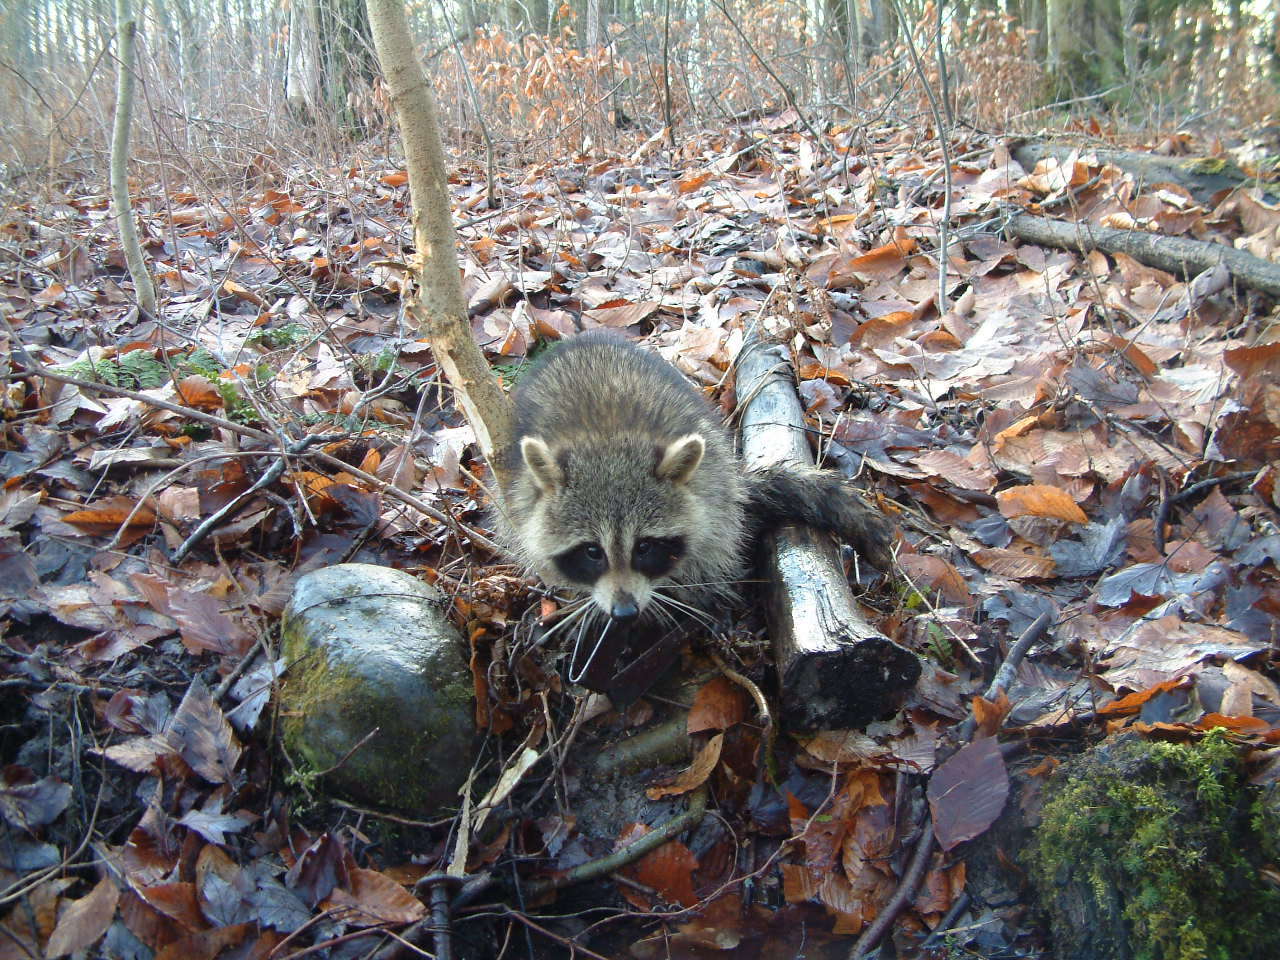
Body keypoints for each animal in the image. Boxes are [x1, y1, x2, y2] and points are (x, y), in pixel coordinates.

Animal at [494, 332, 896, 640]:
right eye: (593, 552)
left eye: (644, 547)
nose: (625, 612)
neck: (608, 443)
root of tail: (584, 339)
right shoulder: (519, 497)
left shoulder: (712, 485)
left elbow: (712, 544)